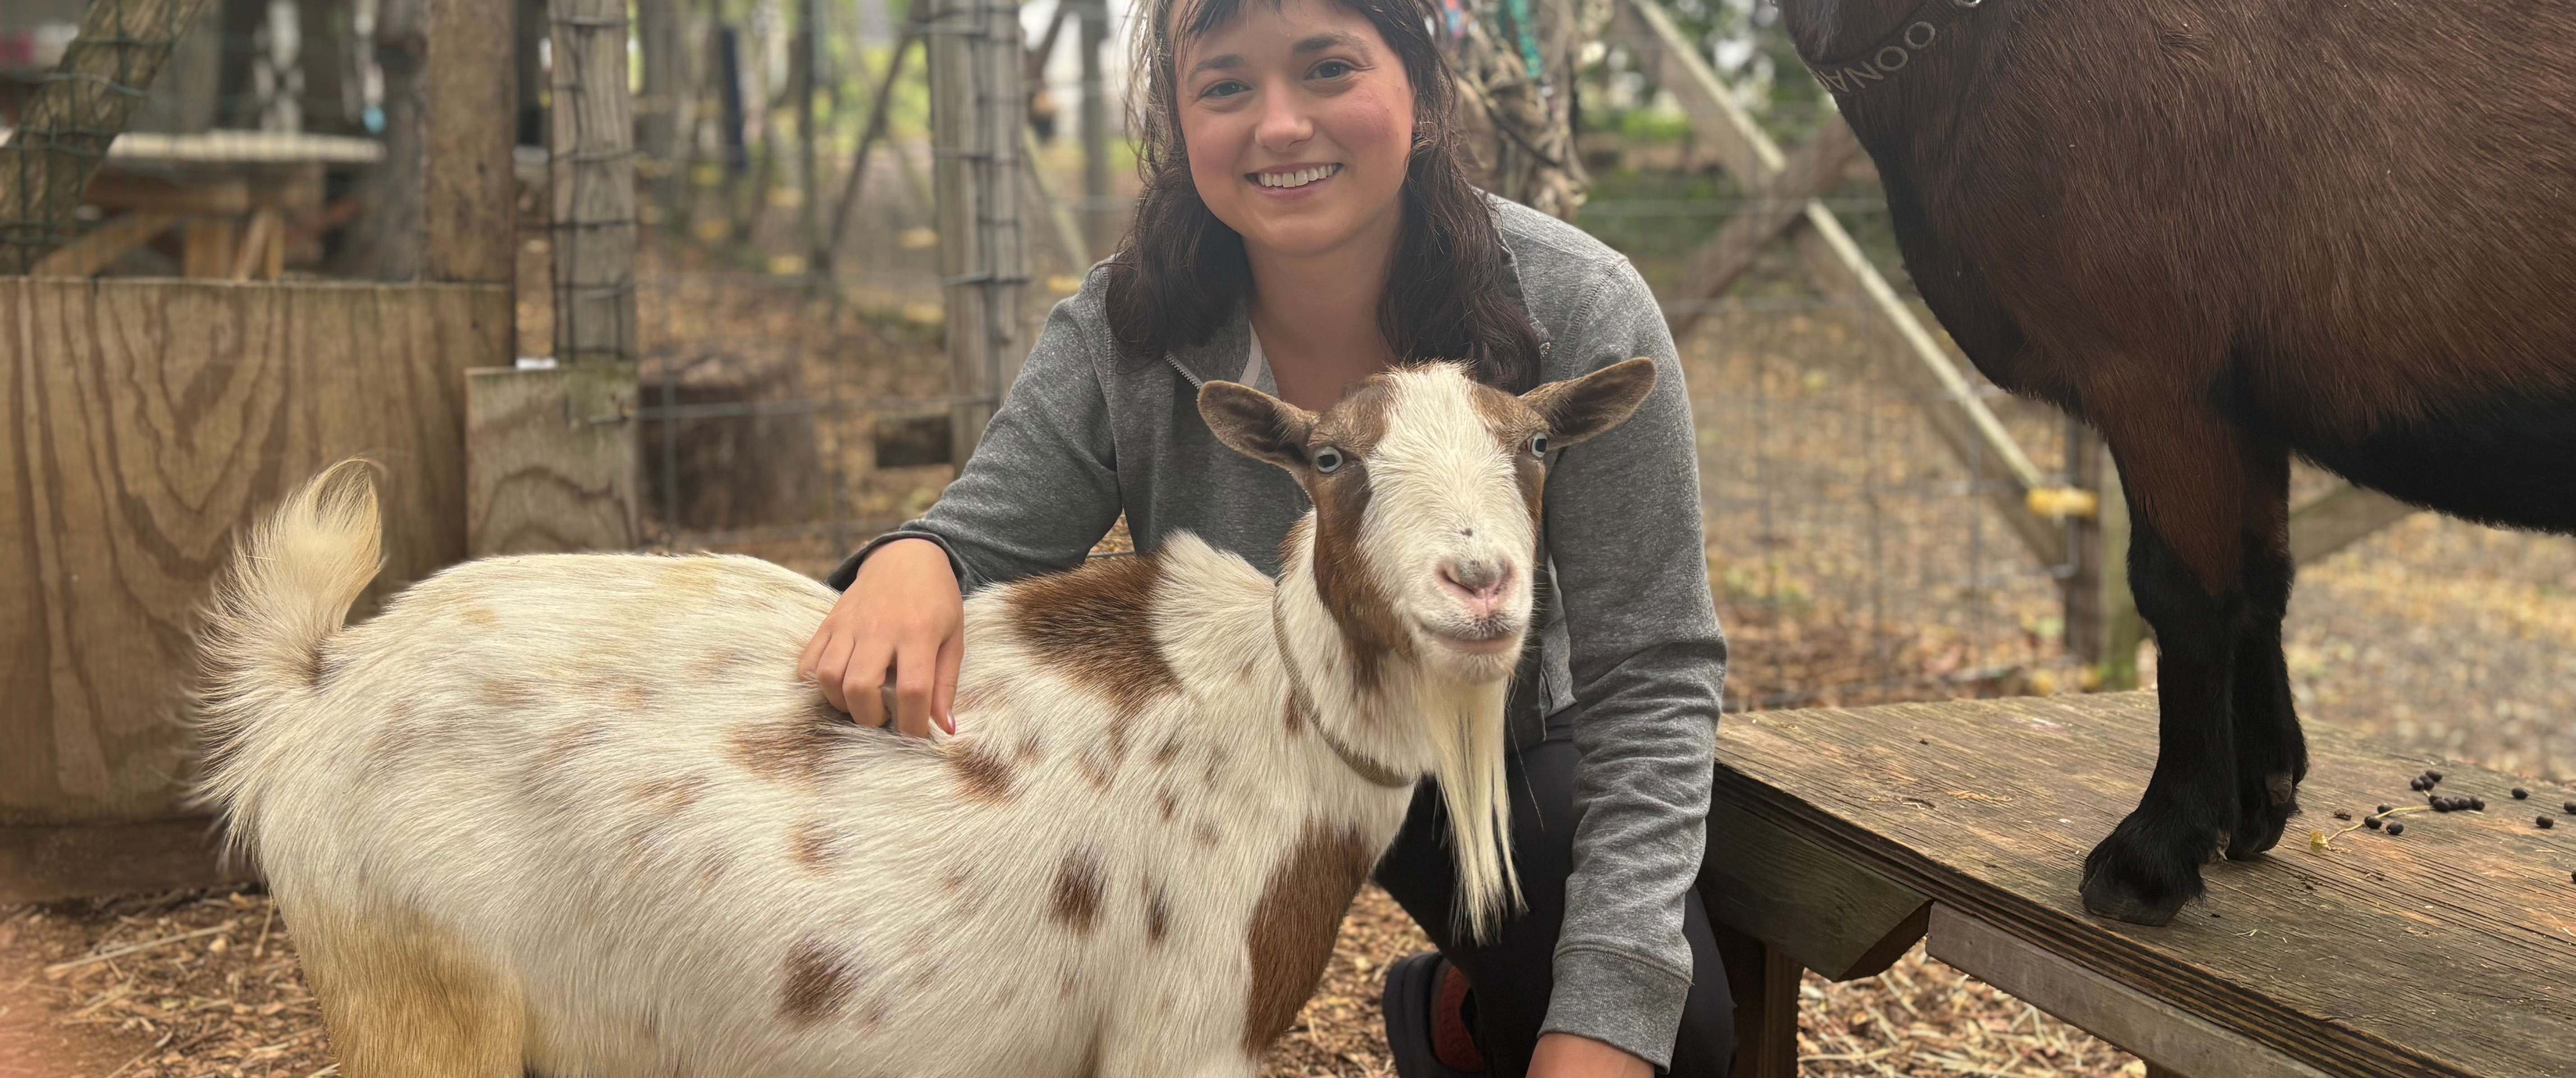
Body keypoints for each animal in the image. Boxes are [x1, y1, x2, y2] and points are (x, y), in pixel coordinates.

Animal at [190, 359, 1657, 1077]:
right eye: (1333, 459)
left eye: (1535, 445)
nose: (1478, 582)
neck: (1273, 712)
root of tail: (319, 681)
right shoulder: (1183, 1030)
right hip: (414, 993)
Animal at [1779, 0, 2576, 923]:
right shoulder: (2241, 404)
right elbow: (2259, 583)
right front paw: (2261, 797)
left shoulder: (2154, 372)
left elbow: (2184, 594)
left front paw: (2153, 852)